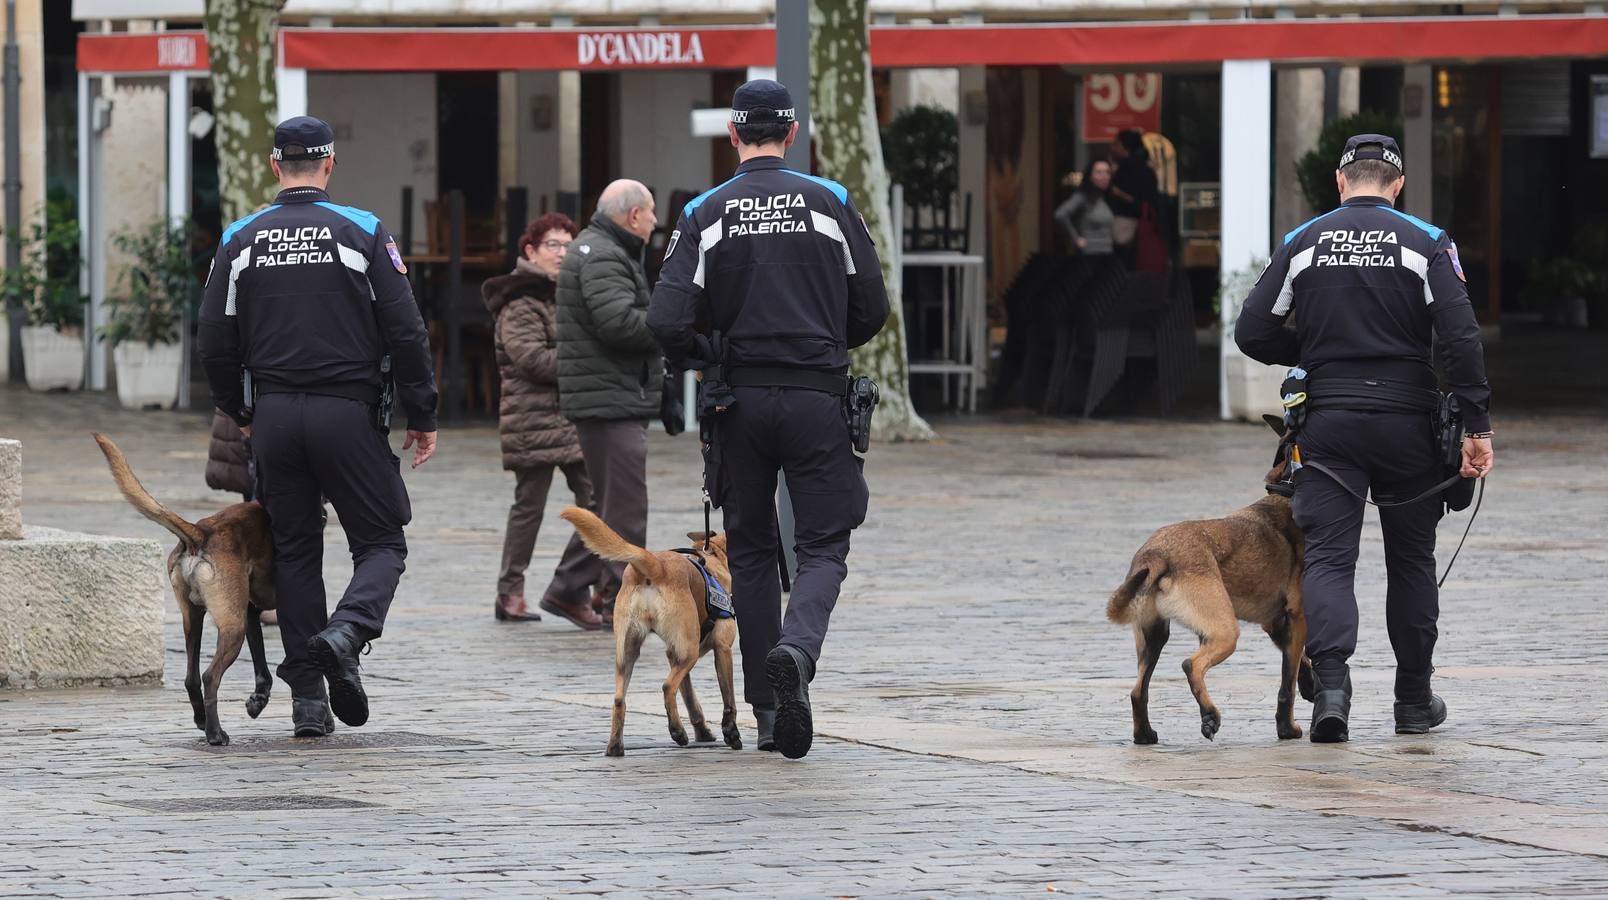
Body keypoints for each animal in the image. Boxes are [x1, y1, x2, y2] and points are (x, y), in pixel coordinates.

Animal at [92, 430, 276, 745]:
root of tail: (202, 531)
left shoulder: (251, 613)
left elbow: (263, 668)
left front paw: (257, 701)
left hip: (196, 619)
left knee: (191, 677)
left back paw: (202, 720)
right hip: (232, 627)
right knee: (210, 676)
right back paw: (215, 733)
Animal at [559, 511, 739, 755]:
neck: (713, 558)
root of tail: (656, 566)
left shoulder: (674, 654)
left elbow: (690, 698)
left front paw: (702, 732)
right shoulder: (722, 648)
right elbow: (728, 698)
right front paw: (731, 733)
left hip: (628, 652)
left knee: (619, 699)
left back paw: (615, 746)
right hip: (689, 653)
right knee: (667, 687)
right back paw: (677, 732)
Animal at [1106, 417, 1318, 745]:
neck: (1286, 490)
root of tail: (1156, 553)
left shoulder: (1276, 624)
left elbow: (1298, 662)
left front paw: (1309, 683)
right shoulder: (1297, 617)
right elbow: (1287, 683)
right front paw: (1287, 728)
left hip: (1155, 636)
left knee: (1137, 691)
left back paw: (1145, 734)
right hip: (1224, 631)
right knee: (1190, 665)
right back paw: (1210, 716)